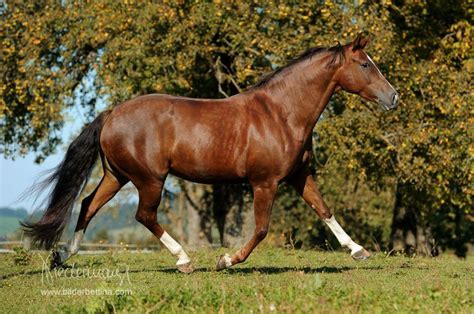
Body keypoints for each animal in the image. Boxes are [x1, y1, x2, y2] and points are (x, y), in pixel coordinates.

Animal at [23, 35, 400, 272]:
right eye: (365, 65)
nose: (393, 97)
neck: (282, 113)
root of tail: (112, 114)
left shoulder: (298, 175)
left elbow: (324, 210)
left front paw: (358, 250)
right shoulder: (264, 183)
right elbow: (261, 230)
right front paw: (226, 260)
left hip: (116, 176)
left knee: (88, 205)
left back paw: (62, 255)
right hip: (149, 179)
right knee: (144, 215)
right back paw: (184, 260)